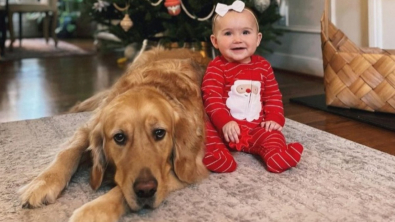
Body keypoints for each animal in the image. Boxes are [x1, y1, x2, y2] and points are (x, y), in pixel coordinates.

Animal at [19, 47, 210, 221]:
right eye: (119, 137)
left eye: (159, 133)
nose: (146, 190)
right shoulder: (90, 127)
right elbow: (68, 152)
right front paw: (42, 183)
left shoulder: (191, 167)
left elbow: (120, 190)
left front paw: (91, 212)